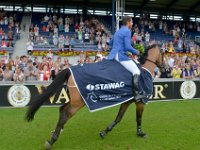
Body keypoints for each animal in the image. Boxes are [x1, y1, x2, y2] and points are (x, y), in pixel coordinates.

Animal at [25, 44, 165, 149]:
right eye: (163, 54)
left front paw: (104, 132)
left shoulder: (127, 101)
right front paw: (141, 133)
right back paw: (52, 140)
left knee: (62, 109)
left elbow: (118, 118)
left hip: (75, 100)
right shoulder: (141, 101)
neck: (144, 69)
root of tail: (69, 70)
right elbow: (139, 118)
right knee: (65, 114)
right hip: (78, 103)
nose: (164, 67)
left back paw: (57, 131)